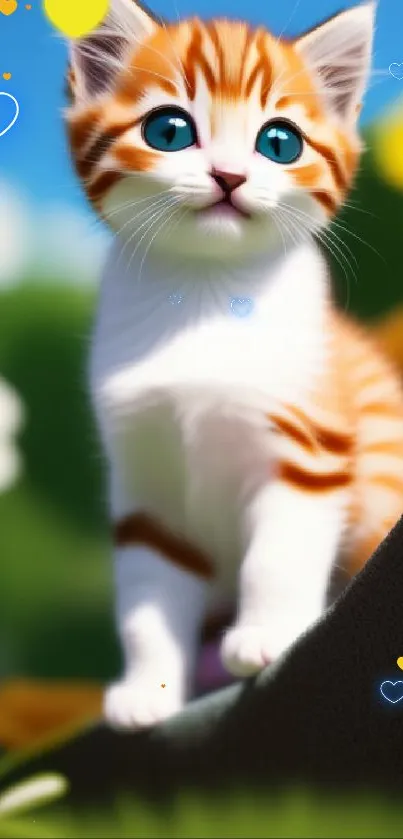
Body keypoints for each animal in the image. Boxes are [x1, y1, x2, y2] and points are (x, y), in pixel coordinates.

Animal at [64, 0, 403, 732]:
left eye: (279, 143)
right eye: (168, 130)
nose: (228, 177)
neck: (206, 295)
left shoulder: (310, 448)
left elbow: (275, 557)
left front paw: (265, 635)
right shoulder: (148, 488)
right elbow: (147, 597)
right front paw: (151, 687)